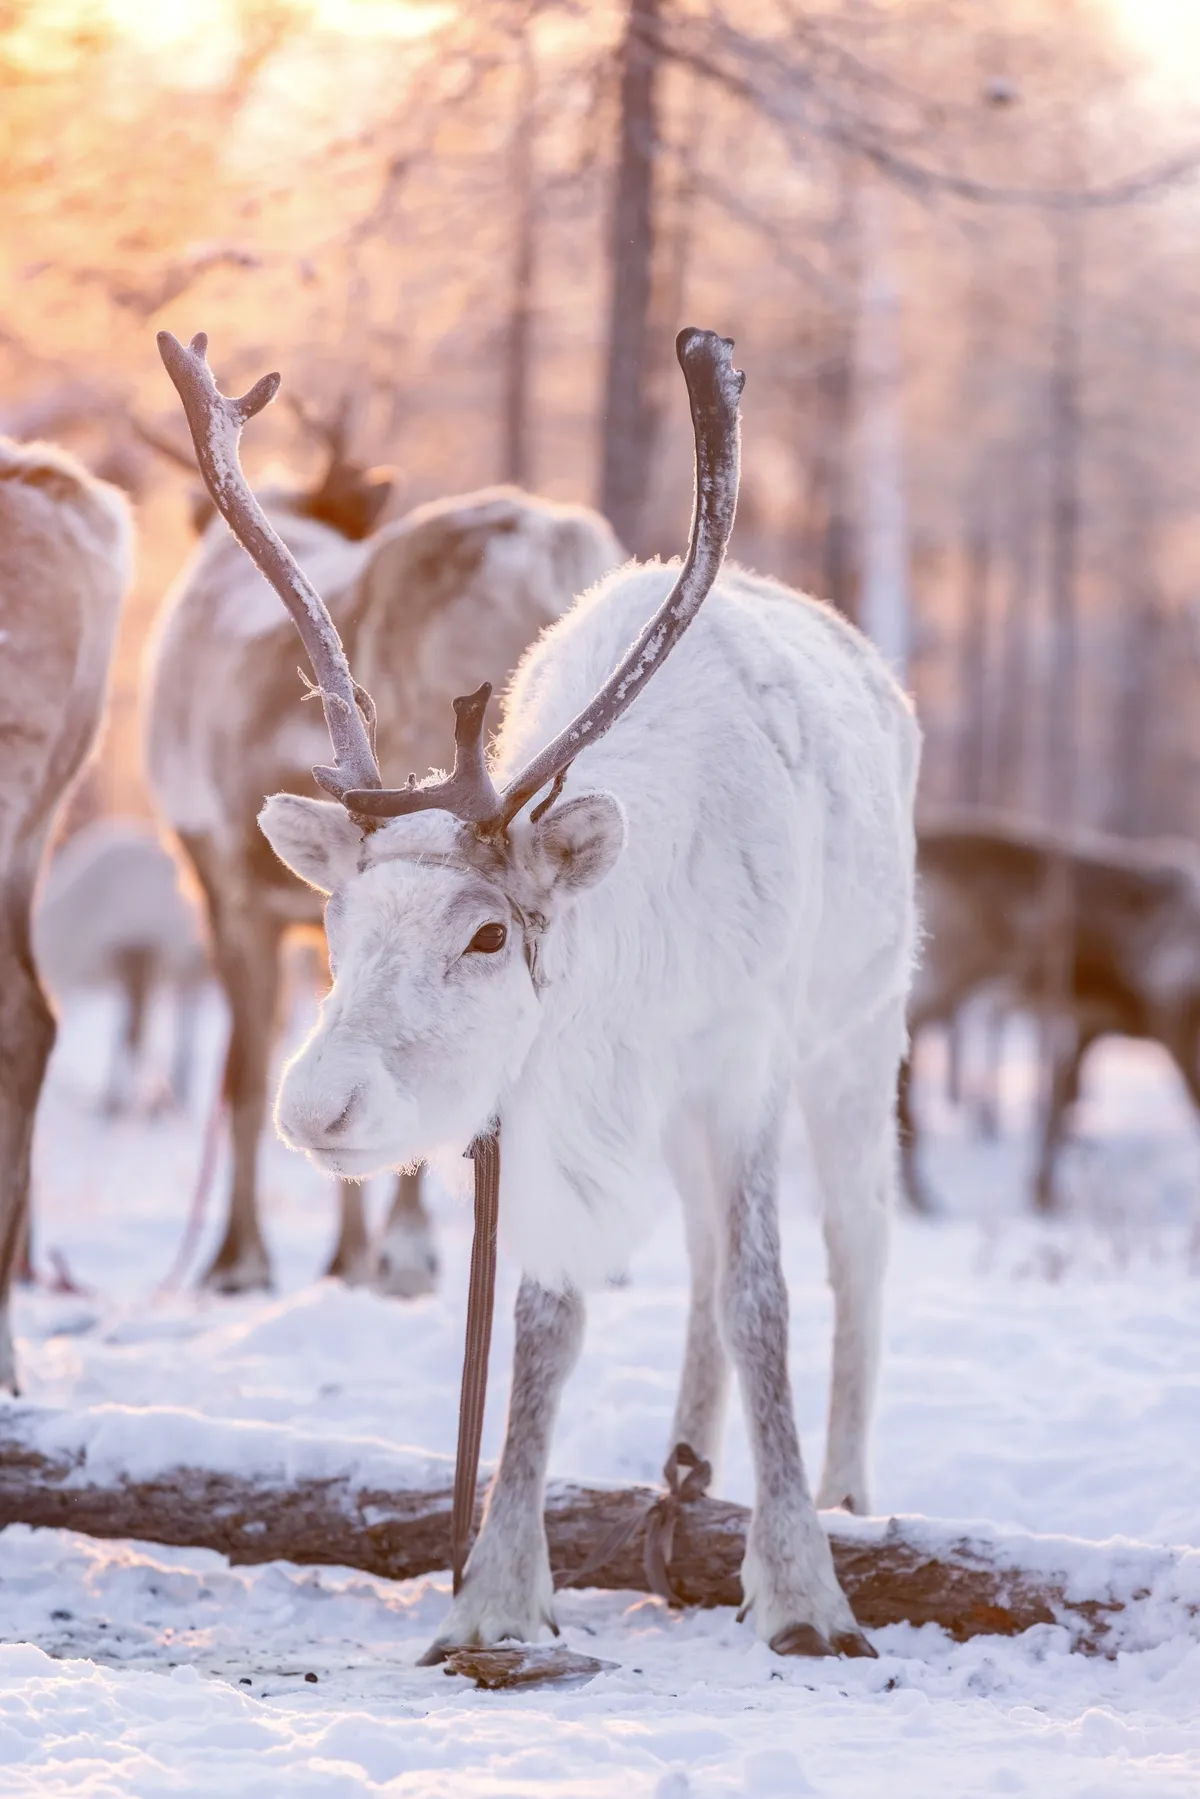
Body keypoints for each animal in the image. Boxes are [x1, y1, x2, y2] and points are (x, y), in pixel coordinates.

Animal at [903, 808, 1200, 1213]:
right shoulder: (1172, 1022)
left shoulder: (1091, 1022)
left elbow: (1062, 1103)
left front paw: (1043, 1193)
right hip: (941, 981)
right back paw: (920, 1194)